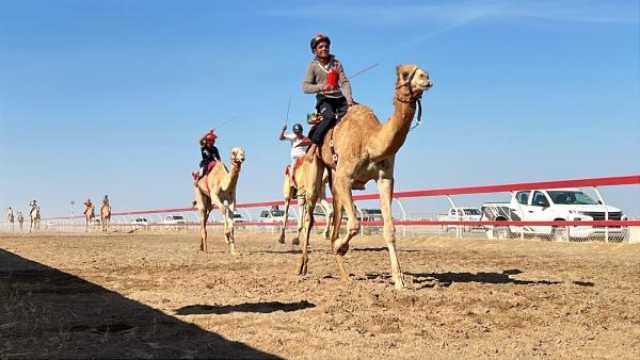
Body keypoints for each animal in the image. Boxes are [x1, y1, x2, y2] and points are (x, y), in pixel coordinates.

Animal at [298, 64, 432, 290]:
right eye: (405, 74)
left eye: (424, 72)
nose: (427, 79)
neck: (371, 141)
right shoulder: (345, 177)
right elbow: (354, 224)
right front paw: (340, 246)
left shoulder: (385, 178)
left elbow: (389, 229)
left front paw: (399, 281)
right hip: (316, 169)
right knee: (310, 215)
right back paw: (302, 268)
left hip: (334, 178)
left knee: (335, 214)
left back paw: (344, 275)